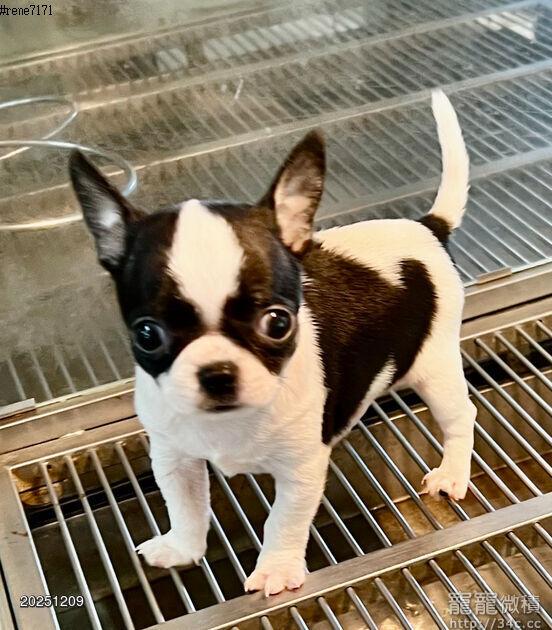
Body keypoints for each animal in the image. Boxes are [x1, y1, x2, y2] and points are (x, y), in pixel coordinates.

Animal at [69, 89, 475, 597]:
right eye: (147, 334)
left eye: (277, 323)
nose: (218, 373)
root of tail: (428, 227)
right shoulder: (174, 456)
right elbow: (184, 505)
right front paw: (182, 547)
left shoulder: (301, 471)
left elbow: (283, 522)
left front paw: (277, 570)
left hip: (435, 368)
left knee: (461, 418)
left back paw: (453, 472)